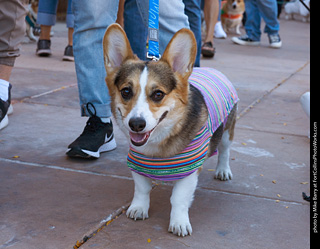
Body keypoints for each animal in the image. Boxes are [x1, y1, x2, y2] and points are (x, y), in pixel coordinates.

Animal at [102, 24, 238, 236]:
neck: (159, 142)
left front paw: (179, 223)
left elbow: (179, 198)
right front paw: (138, 208)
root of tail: (213, 70)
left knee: (224, 151)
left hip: (226, 132)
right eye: (126, 92)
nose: (136, 124)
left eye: (158, 94)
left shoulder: (190, 170)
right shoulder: (137, 163)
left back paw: (223, 171)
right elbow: (141, 189)